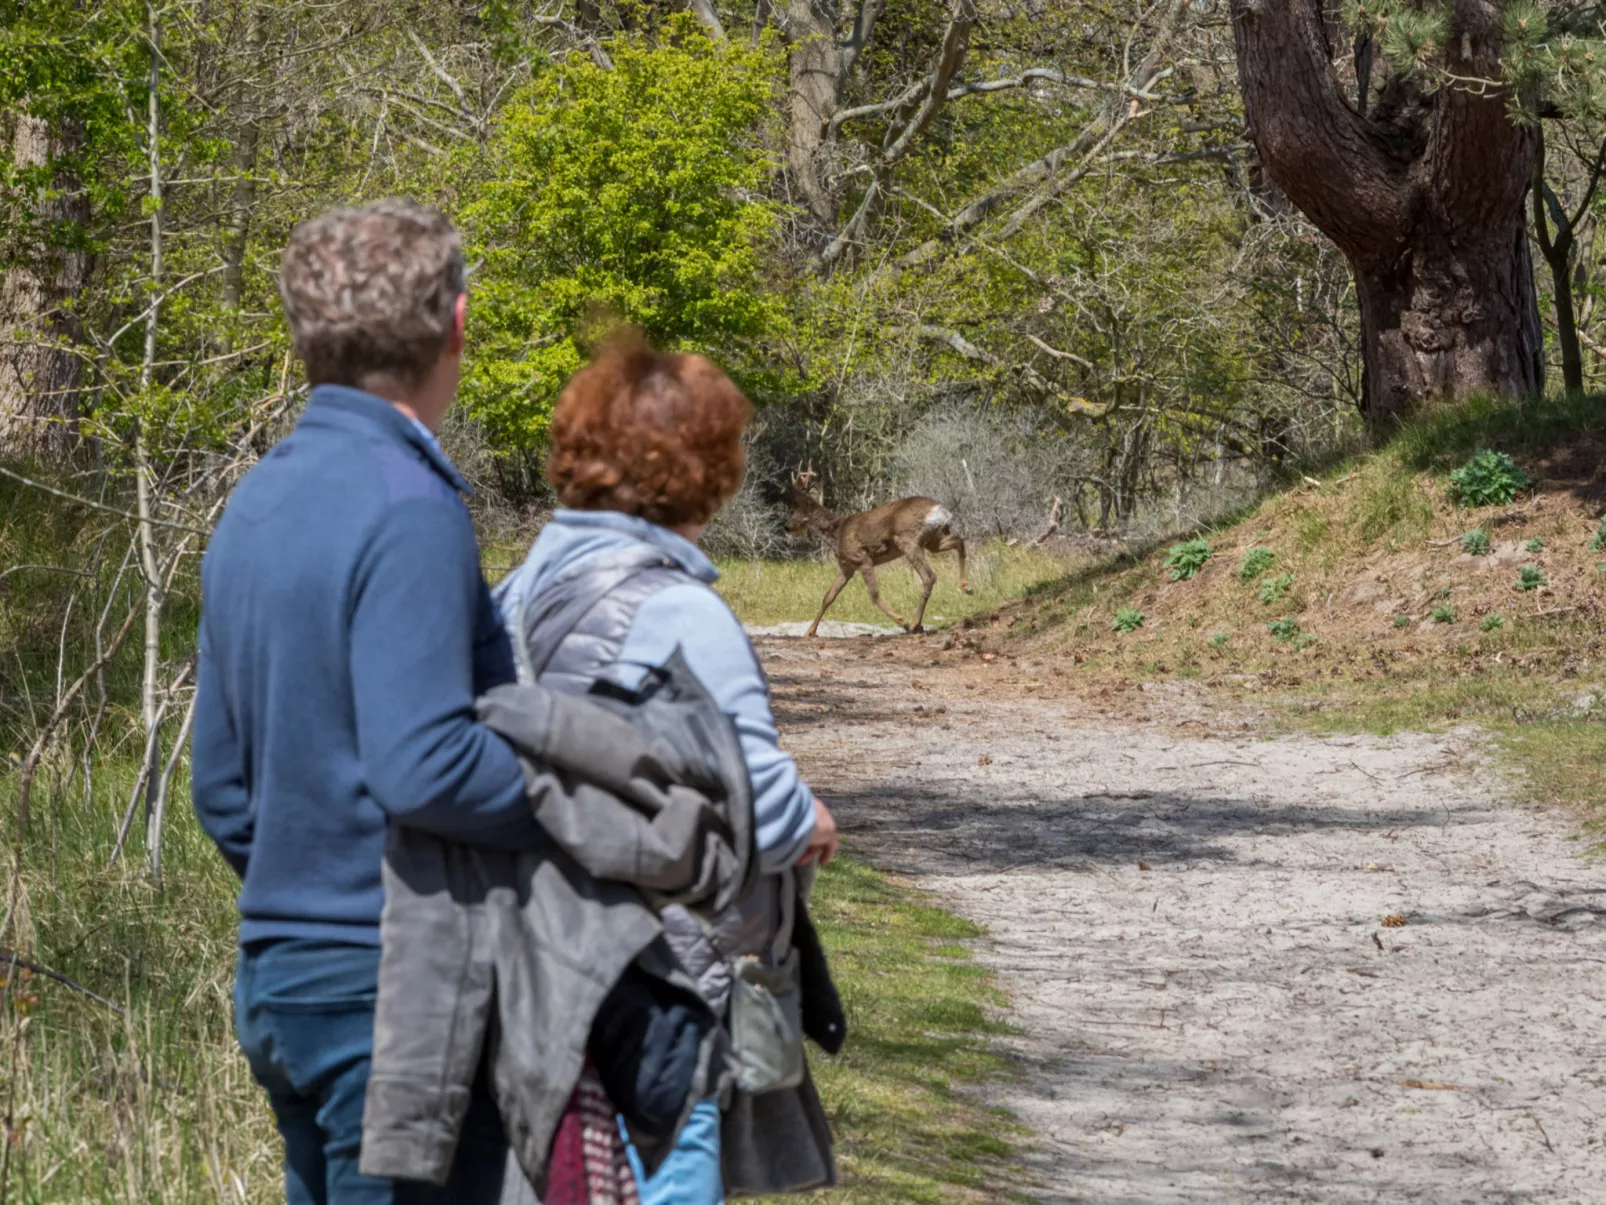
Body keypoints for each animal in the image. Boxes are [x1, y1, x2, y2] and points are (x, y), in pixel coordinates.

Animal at [786, 469, 970, 642]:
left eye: (793, 510)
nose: (786, 527)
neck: (837, 532)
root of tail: (939, 510)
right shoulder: (847, 567)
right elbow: (828, 597)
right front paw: (809, 632)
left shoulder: (862, 558)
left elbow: (873, 594)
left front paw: (902, 621)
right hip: (934, 541)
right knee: (960, 541)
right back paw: (966, 587)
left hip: (908, 540)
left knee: (929, 576)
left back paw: (915, 623)